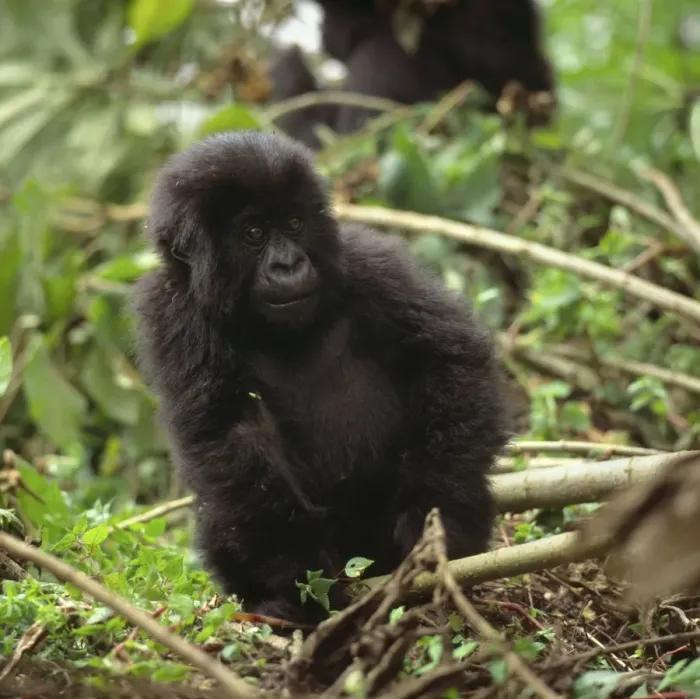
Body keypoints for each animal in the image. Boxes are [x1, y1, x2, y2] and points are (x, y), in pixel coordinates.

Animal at [133, 130, 510, 624]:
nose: (288, 265)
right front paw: (298, 575)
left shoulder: (368, 263)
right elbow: (229, 430)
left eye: (294, 224)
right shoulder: (173, 313)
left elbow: (447, 357)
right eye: (253, 234)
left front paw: (434, 517)